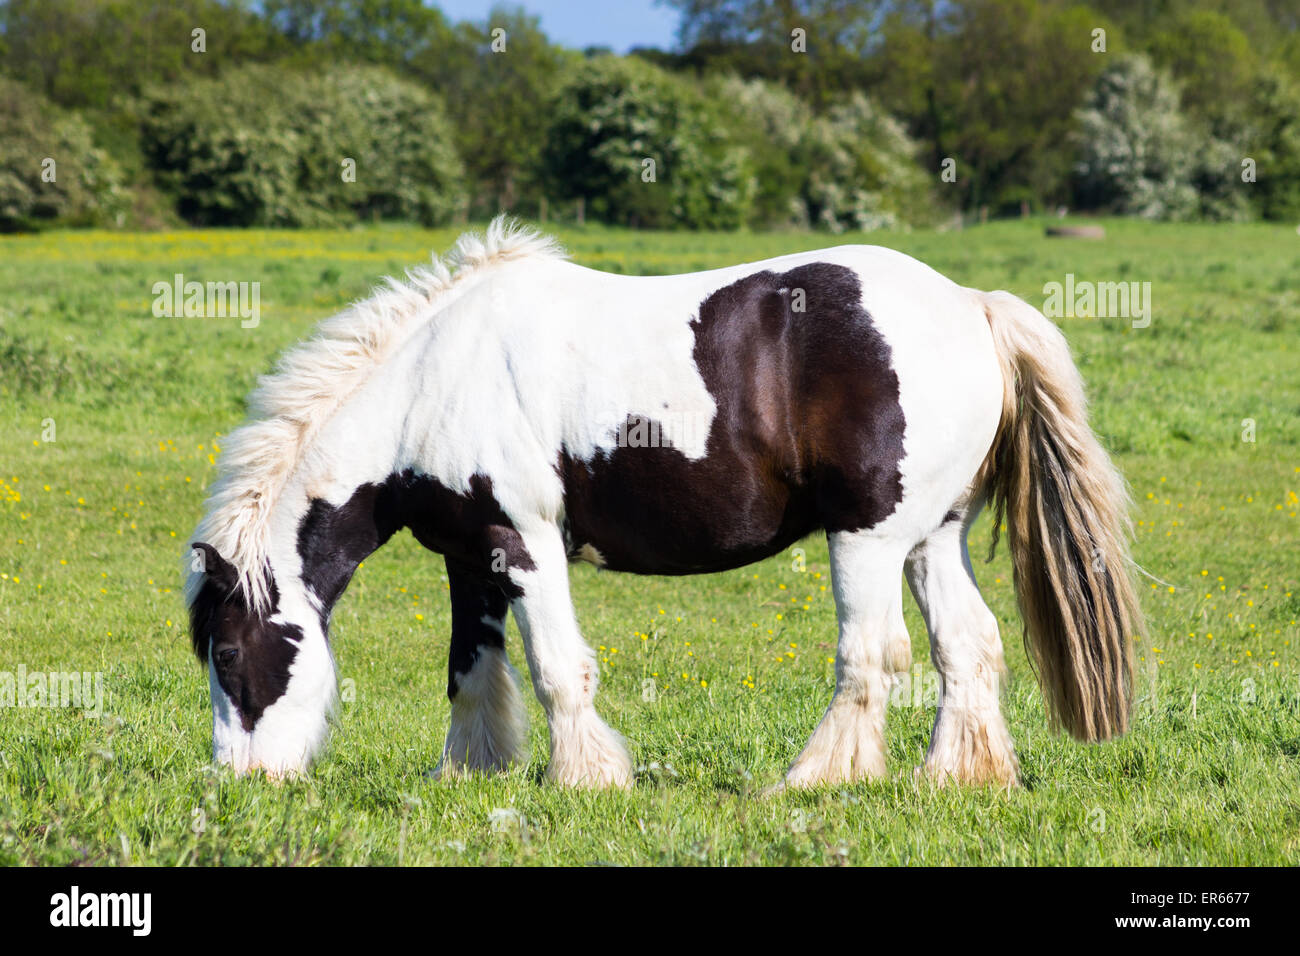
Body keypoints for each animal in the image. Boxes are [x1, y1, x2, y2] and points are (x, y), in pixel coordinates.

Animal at [183, 221, 1138, 790]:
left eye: (228, 655)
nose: (238, 781)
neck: (431, 382)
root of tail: (974, 307)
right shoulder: (469, 555)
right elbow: (470, 670)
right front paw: (472, 774)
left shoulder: (523, 542)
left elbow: (557, 667)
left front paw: (585, 779)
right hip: (930, 538)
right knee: (967, 646)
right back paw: (954, 777)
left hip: (866, 539)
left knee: (871, 656)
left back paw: (814, 781)